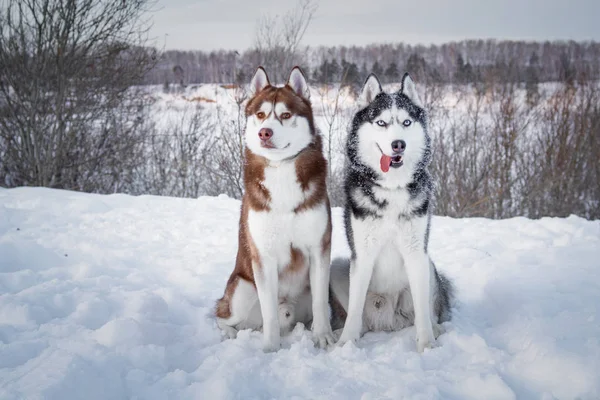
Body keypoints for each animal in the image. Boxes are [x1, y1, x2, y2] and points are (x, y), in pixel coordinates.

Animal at [214, 67, 338, 352]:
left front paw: (323, 337)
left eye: (285, 115)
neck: (281, 169)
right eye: (260, 115)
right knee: (220, 314)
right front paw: (270, 347)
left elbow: (320, 303)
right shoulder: (264, 256)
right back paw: (229, 333)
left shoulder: (319, 248)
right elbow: (268, 310)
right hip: (241, 290)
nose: (265, 133)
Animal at [330, 73, 452, 352]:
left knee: (427, 312)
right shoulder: (362, 254)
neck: (392, 188)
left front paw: (427, 345)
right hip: (338, 267)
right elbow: (354, 308)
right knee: (361, 317)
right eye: (381, 122)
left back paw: (436, 329)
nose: (399, 144)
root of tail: (389, 320)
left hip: (429, 265)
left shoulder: (416, 252)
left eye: (406, 122)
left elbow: (422, 309)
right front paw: (346, 343)